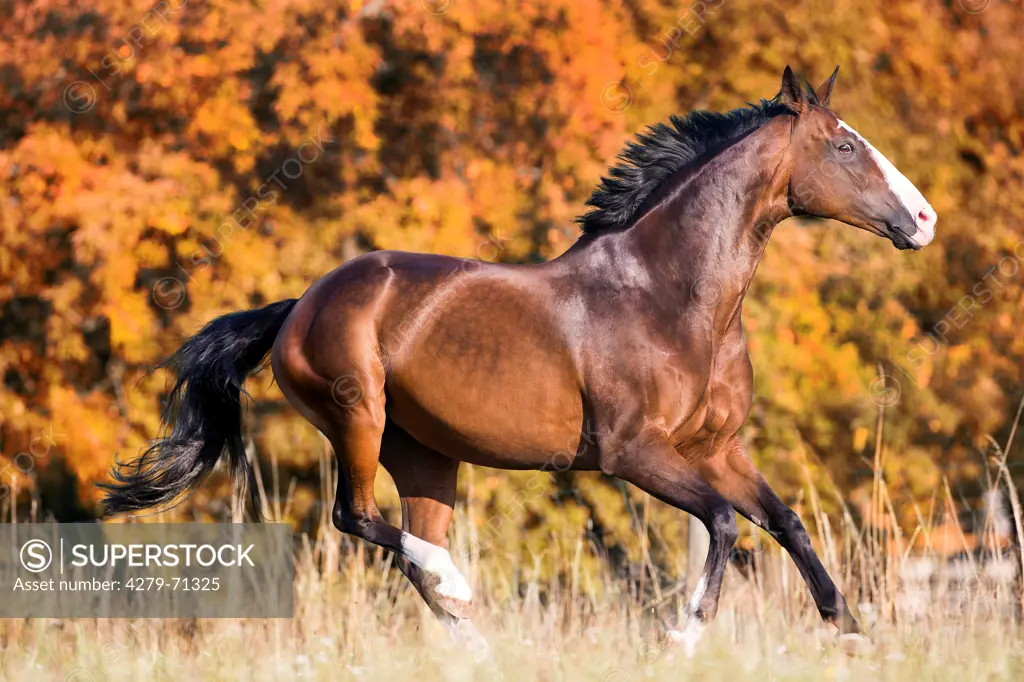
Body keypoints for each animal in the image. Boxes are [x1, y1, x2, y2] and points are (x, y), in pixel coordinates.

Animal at [101, 67, 937, 647]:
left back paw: (477, 641)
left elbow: (786, 522)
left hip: (426, 455)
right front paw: (684, 632)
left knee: (411, 551)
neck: (671, 295)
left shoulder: (717, 448)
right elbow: (728, 525)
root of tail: (297, 305)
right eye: (844, 145)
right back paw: (463, 586)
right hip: (358, 418)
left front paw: (853, 632)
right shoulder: (633, 453)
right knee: (360, 519)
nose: (924, 219)